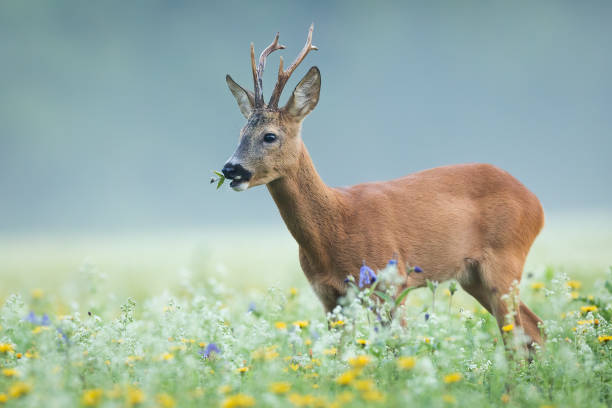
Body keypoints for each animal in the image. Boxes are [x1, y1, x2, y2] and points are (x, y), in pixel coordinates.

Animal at [221, 23, 544, 346]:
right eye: (241, 133)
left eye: (270, 135)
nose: (231, 169)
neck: (335, 227)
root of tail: (536, 204)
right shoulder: (331, 297)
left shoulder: (391, 282)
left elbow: (397, 347)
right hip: (472, 277)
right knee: (533, 328)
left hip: (504, 261)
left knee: (522, 334)